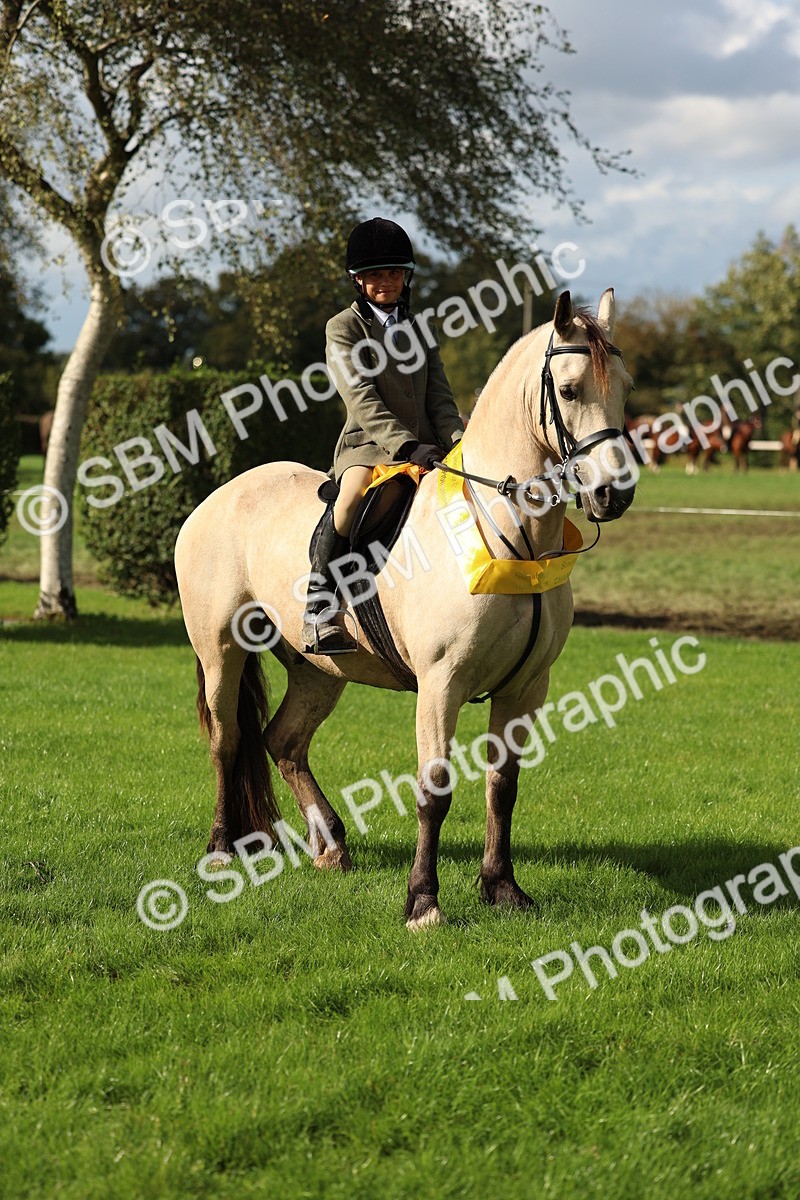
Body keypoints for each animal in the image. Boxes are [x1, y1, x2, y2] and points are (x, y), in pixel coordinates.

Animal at [174, 289, 636, 929]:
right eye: (568, 391)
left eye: (625, 386)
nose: (614, 495)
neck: (506, 535)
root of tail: (218, 497)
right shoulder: (441, 684)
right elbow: (434, 790)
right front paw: (423, 902)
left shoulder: (526, 687)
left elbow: (503, 786)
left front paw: (503, 888)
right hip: (221, 651)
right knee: (228, 740)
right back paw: (221, 850)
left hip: (319, 670)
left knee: (283, 741)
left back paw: (330, 845)